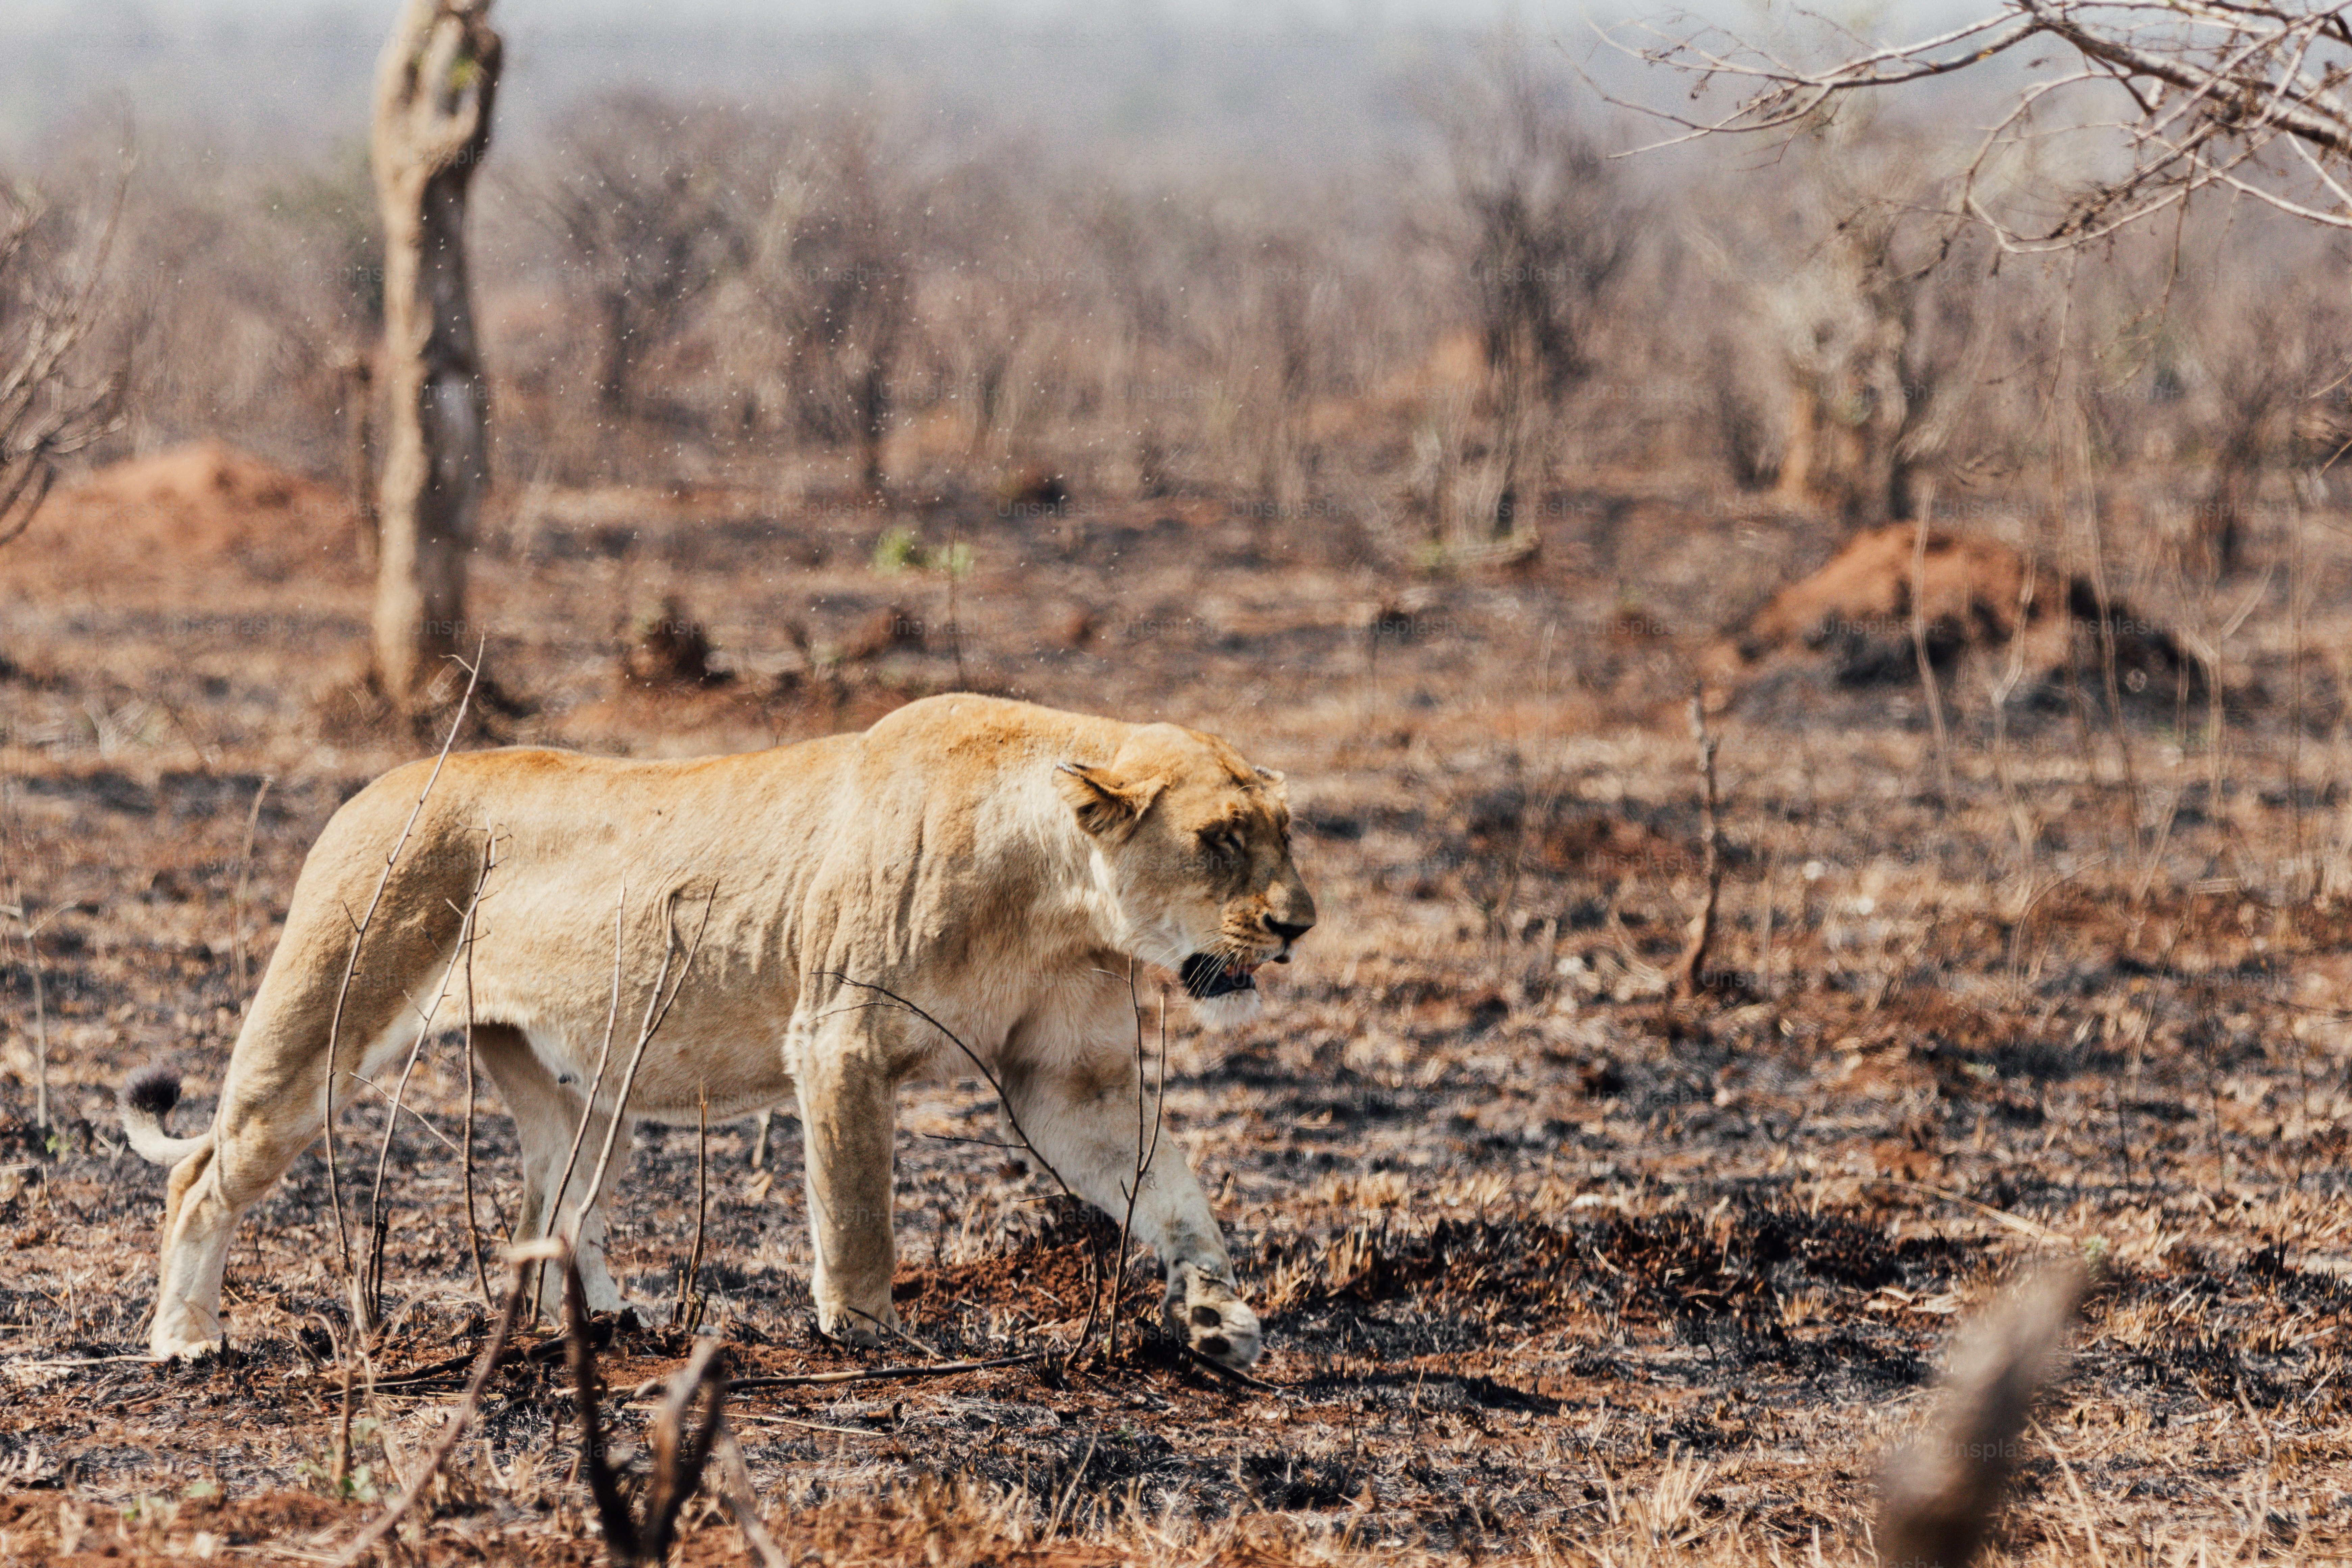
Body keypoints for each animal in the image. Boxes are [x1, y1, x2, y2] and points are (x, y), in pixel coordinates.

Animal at [119, 693, 1315, 1366]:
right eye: (1220, 838)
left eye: (1285, 833)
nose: (1299, 924)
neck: (1061, 892)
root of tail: (369, 790)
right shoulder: (839, 1040)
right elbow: (859, 1212)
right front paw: (867, 1335)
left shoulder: (1069, 1080)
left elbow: (1169, 1188)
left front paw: (1217, 1315)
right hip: (324, 1021)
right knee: (201, 1176)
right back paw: (185, 1342)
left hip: (580, 1095)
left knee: (549, 1212)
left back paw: (608, 1330)